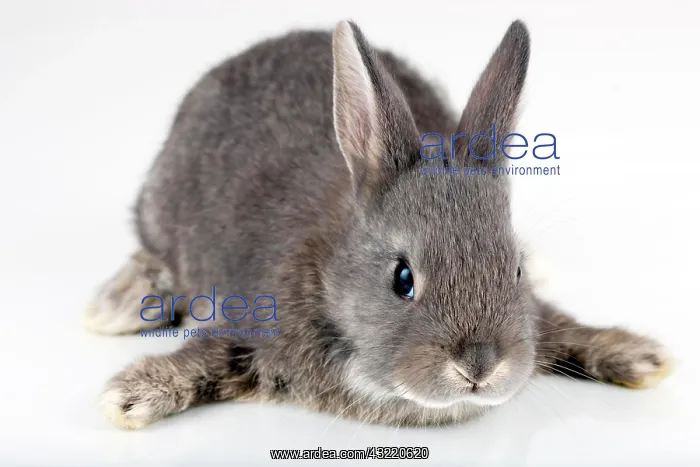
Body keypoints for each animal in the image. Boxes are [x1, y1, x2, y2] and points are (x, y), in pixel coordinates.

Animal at [85, 19, 674, 429]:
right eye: (402, 279)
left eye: (516, 271)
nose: (479, 368)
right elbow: (208, 356)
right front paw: (129, 395)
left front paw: (640, 355)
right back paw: (117, 305)